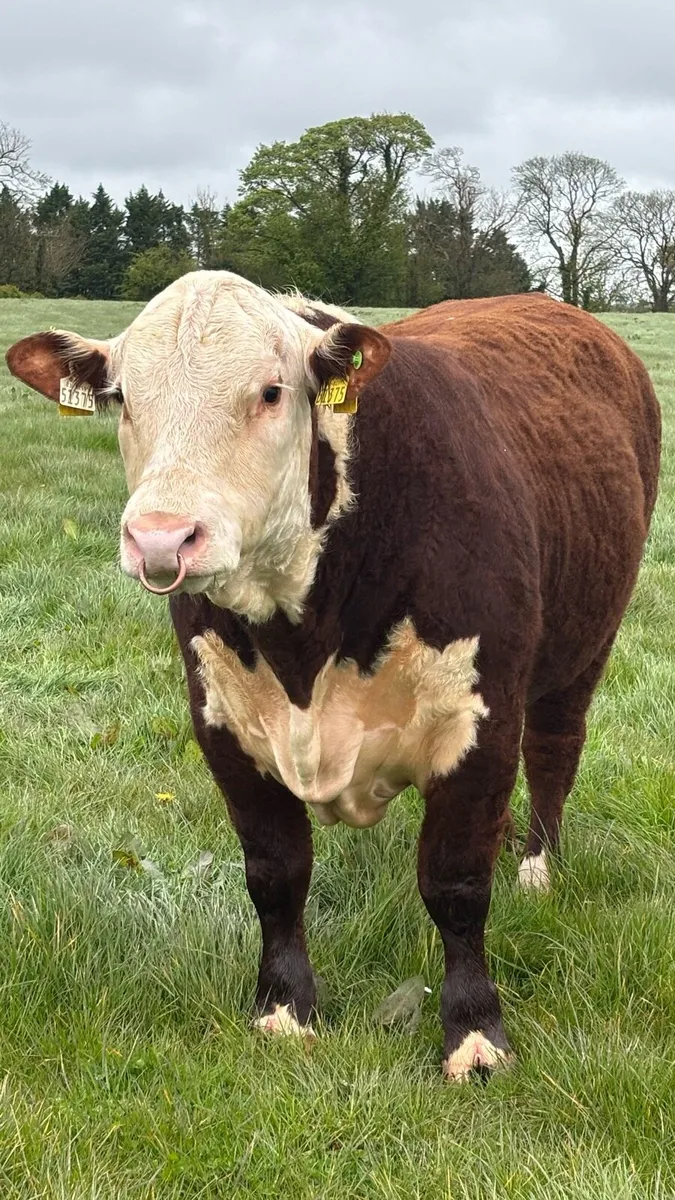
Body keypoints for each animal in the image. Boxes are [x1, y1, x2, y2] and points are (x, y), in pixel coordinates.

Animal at [6, 273, 661, 1080]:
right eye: (123, 397)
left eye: (271, 391)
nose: (161, 537)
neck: (302, 640)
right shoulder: (220, 722)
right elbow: (275, 873)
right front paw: (286, 1009)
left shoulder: (480, 720)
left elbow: (456, 883)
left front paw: (474, 1033)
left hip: (584, 644)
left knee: (553, 754)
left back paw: (539, 867)